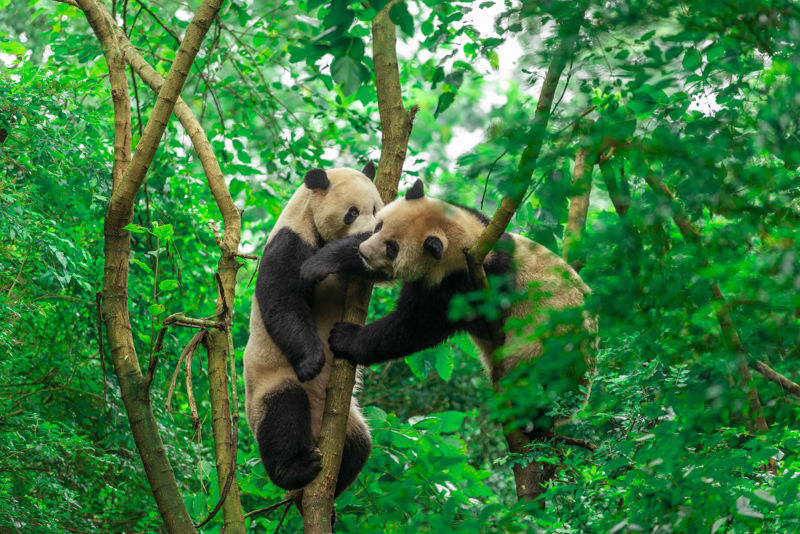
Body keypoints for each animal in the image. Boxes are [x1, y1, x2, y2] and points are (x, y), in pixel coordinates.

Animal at [243, 163, 383, 497]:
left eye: (376, 209)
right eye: (352, 212)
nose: (372, 232)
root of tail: (318, 431)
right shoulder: (290, 240)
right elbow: (283, 299)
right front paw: (312, 361)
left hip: (349, 421)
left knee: (360, 444)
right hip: (270, 381)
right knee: (282, 414)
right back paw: (297, 470)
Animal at [300, 178, 596, 436]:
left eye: (392, 248)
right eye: (378, 226)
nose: (364, 251)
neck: (466, 240)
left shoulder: (464, 285)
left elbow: (417, 326)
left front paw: (344, 337)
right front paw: (321, 263)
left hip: (547, 346)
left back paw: (532, 419)